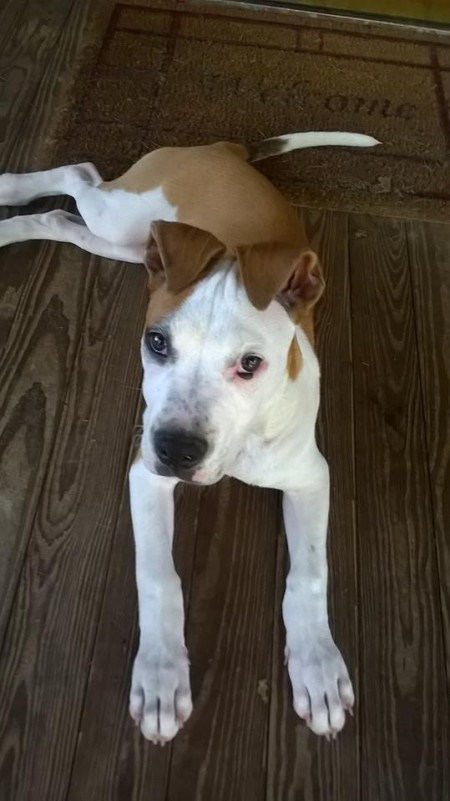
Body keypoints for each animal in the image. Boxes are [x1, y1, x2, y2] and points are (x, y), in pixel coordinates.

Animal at [0, 126, 380, 744]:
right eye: (157, 343)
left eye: (250, 365)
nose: (176, 450)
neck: (241, 444)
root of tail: (223, 151)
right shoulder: (145, 476)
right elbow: (159, 576)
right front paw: (159, 676)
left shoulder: (309, 478)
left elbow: (310, 574)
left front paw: (318, 666)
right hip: (128, 219)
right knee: (78, 178)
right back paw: (9, 189)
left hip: (133, 247)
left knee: (63, 216)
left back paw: (8, 227)